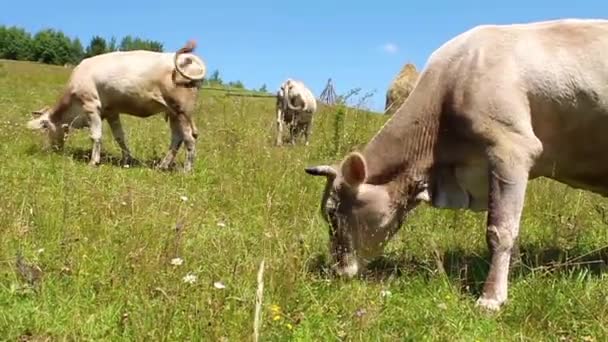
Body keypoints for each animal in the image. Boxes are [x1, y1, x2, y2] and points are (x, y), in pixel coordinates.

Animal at [26, 39, 207, 172]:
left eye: (46, 128)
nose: (53, 149)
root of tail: (189, 58)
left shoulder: (91, 106)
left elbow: (96, 136)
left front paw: (93, 162)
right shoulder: (111, 112)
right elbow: (120, 136)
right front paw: (127, 159)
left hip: (181, 110)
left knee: (189, 139)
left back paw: (186, 170)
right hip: (173, 112)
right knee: (177, 138)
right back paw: (162, 166)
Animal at [306, 19, 608, 312]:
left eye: (332, 212)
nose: (338, 271)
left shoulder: (512, 148)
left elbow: (500, 230)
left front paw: (491, 298)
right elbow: (513, 227)